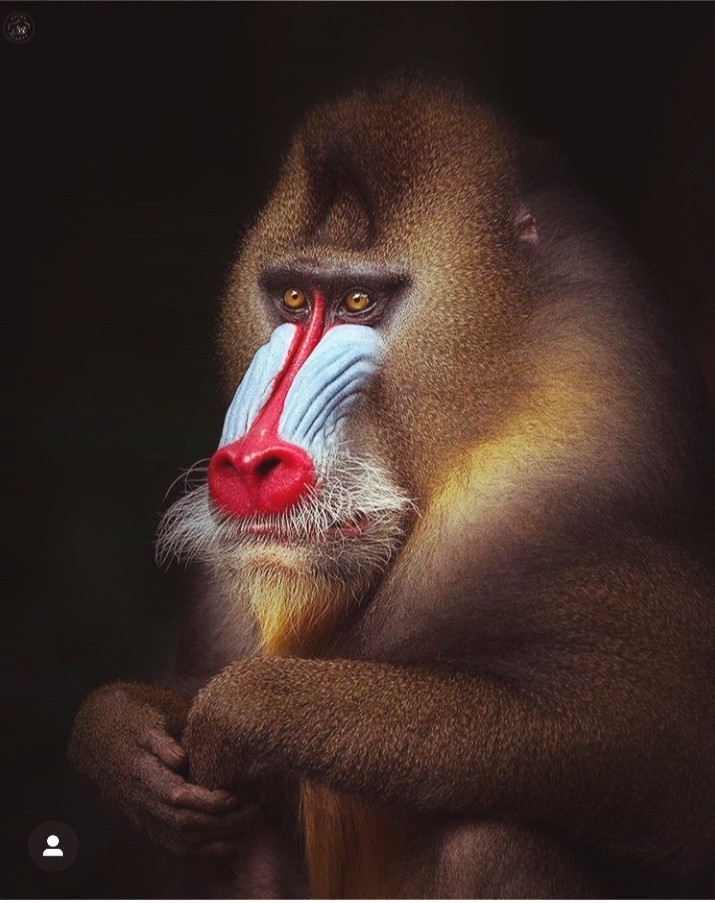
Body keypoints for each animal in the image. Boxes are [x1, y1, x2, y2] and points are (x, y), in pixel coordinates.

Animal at [68, 78, 715, 899]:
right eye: (291, 299)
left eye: (356, 304)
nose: (249, 465)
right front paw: (122, 730)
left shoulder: (577, 495)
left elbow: (662, 757)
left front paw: (246, 709)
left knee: (492, 836)